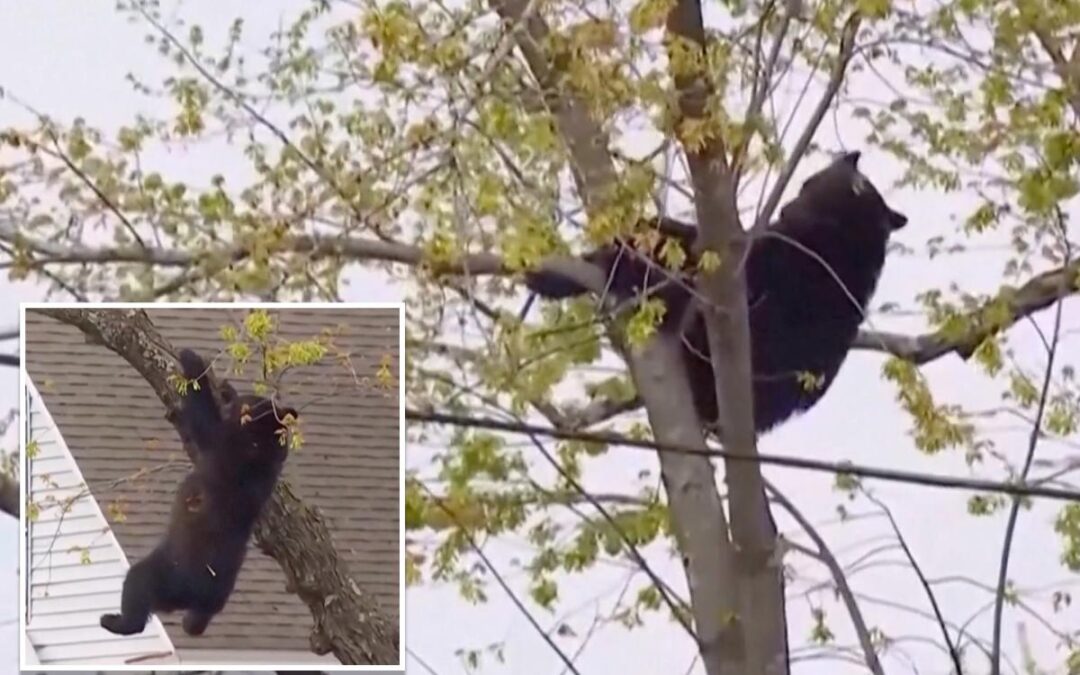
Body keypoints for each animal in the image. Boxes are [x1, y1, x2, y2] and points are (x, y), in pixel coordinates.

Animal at [99, 349, 298, 637]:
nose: (234, 393)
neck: (259, 447)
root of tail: (195, 595)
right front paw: (224, 387)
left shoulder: (223, 444)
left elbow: (202, 419)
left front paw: (192, 359)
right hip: (210, 595)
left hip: (165, 570)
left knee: (137, 585)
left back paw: (115, 621)